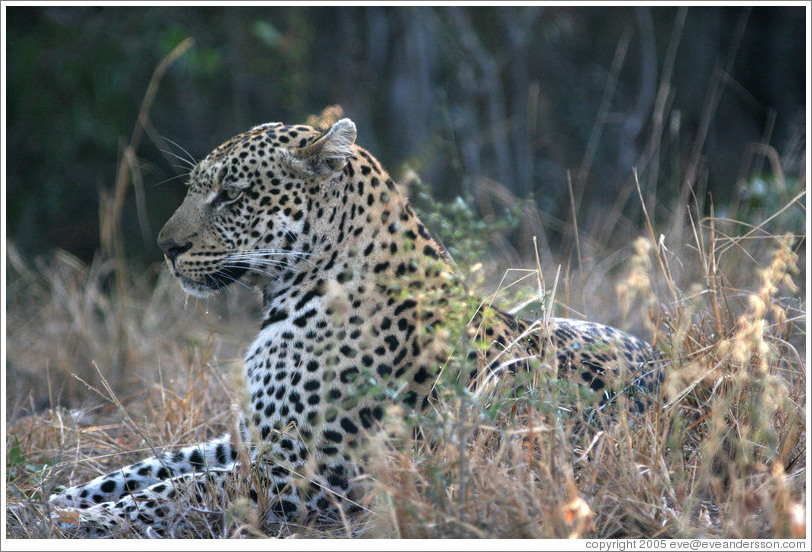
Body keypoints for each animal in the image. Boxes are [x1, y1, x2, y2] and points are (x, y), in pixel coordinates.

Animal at [46, 116, 661, 537]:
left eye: (232, 194)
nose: (166, 248)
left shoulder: (304, 472)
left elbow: (179, 487)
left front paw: (87, 520)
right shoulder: (251, 438)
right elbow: (154, 465)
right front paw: (62, 497)